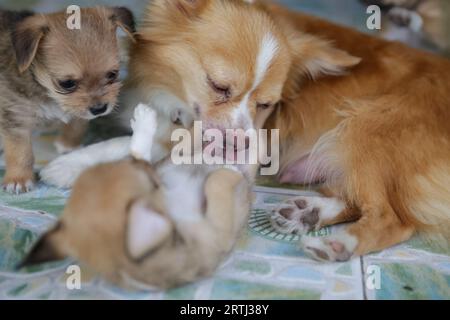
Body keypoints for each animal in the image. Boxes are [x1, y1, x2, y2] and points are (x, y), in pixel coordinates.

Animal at [0, 6, 135, 192]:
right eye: (67, 83)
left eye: (112, 74)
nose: (100, 109)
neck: (47, 93)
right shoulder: (16, 118)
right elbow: (20, 152)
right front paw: (18, 179)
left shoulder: (80, 111)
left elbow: (76, 126)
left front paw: (69, 146)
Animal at [22, 105, 253, 290]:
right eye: (154, 184)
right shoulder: (214, 233)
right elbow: (217, 182)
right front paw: (230, 169)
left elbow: (138, 153)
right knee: (191, 140)